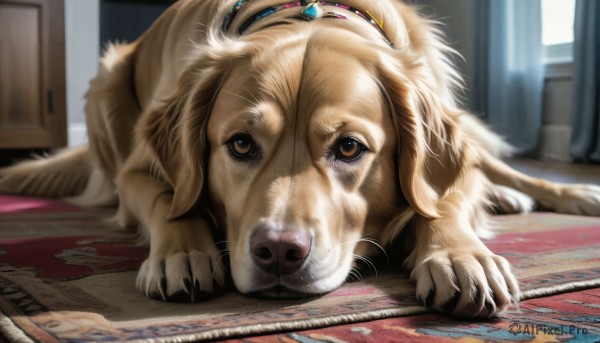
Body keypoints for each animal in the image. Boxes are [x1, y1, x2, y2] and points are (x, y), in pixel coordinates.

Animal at [1, 0, 600, 320]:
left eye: (350, 148)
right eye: (240, 144)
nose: (279, 252)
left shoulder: (443, 169)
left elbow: (442, 202)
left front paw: (459, 256)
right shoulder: (135, 174)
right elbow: (173, 197)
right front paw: (183, 253)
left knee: (491, 164)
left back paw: (563, 193)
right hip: (106, 84)